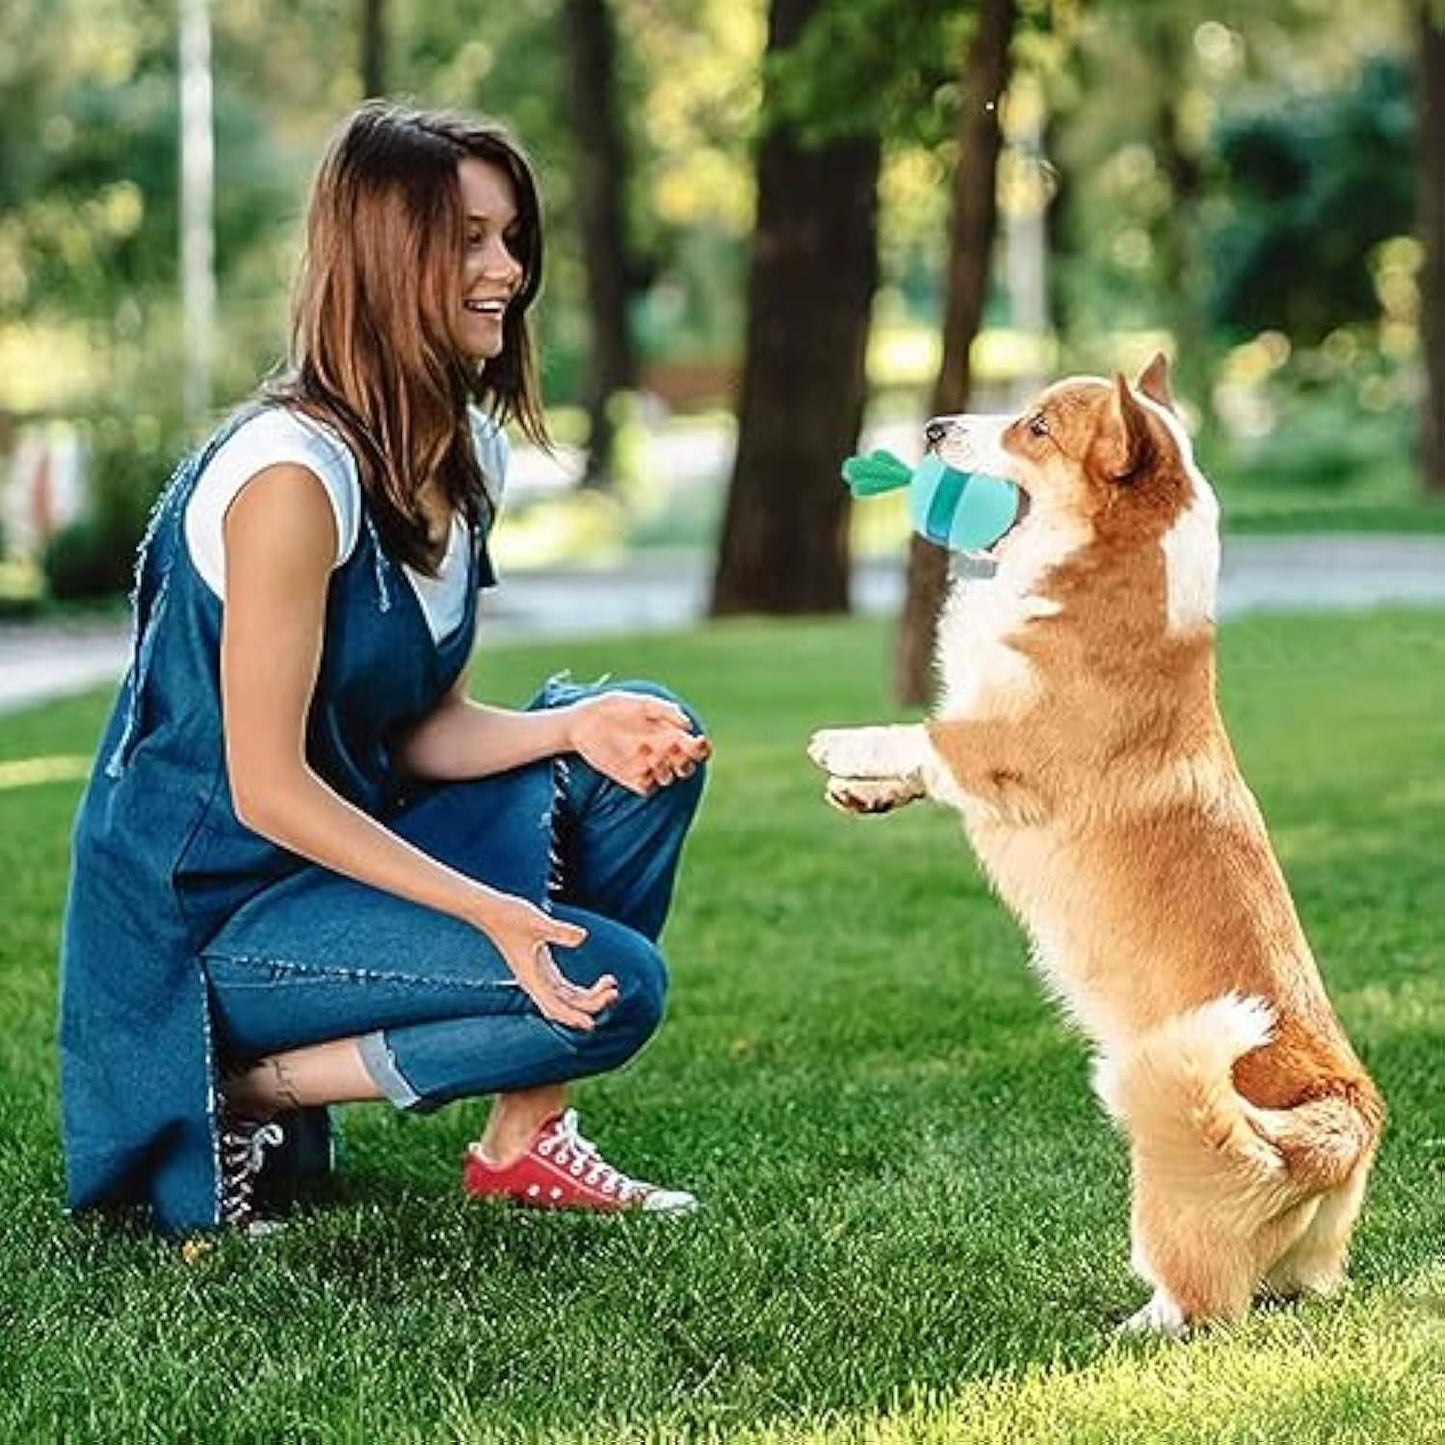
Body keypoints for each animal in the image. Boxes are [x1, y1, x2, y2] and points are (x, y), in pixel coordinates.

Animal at [809, 358, 1381, 1329]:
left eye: (1035, 427)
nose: (931, 428)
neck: (1098, 576)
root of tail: (1342, 1122)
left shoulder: (1003, 747)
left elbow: (925, 736)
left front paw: (843, 746)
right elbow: (919, 761)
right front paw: (863, 791)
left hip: (1172, 1161)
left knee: (1200, 1299)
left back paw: (1132, 1326)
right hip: (1306, 1251)